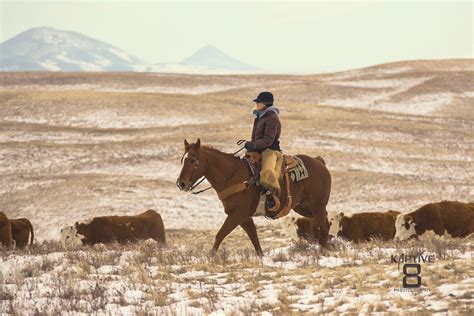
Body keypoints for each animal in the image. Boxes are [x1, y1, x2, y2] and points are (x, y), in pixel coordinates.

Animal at [176, 139, 332, 256]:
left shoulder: (237, 215)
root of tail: (319, 163)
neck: (232, 175)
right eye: (183, 160)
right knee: (324, 222)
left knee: (324, 225)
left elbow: (220, 234)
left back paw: (321, 251)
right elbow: (253, 237)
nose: (181, 183)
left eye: (193, 160)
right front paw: (261, 257)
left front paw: (211, 257)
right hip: (304, 208)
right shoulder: (244, 218)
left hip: (317, 206)